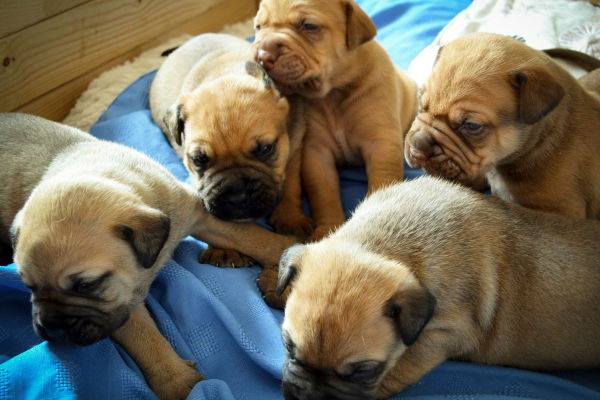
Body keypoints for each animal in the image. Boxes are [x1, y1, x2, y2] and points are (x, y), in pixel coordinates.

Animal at [0, 113, 298, 400]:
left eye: (87, 285)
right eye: (28, 286)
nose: (51, 326)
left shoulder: (197, 215)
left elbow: (249, 236)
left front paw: (290, 246)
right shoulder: (122, 304)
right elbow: (147, 342)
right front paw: (178, 382)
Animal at [150, 32, 310, 266]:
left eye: (266, 149)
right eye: (199, 160)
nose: (237, 196)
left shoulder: (295, 147)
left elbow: (290, 183)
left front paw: (290, 219)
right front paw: (222, 251)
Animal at [252, 0, 418, 241]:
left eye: (309, 26)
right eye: (258, 27)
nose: (263, 56)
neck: (334, 93)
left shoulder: (381, 143)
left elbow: (382, 181)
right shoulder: (316, 153)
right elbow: (324, 195)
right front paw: (326, 231)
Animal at [272, 177, 600, 400]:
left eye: (364, 371)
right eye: (287, 346)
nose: (306, 396)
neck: (379, 244)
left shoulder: (446, 333)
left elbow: (403, 366)